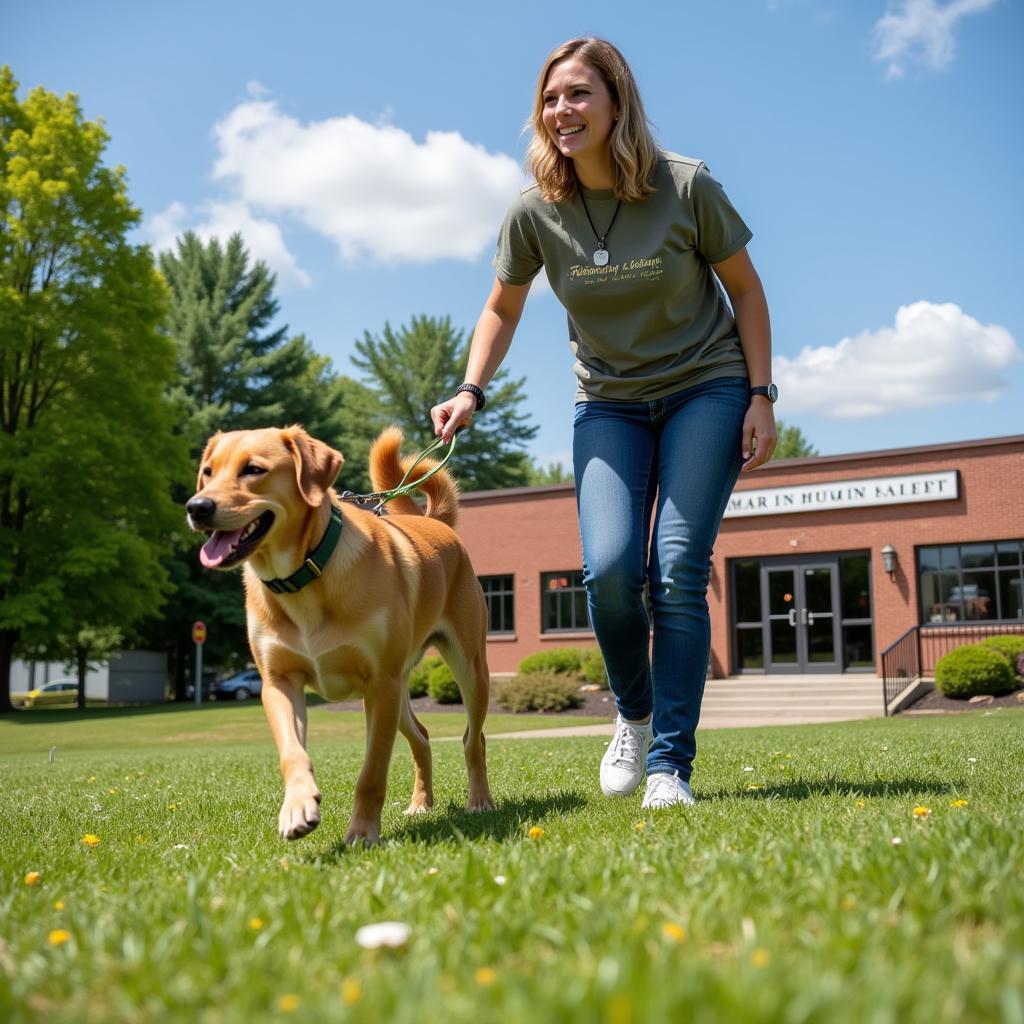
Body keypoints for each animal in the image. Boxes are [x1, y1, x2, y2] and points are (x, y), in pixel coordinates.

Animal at [190, 419, 497, 843]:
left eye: (253, 469)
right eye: (207, 472)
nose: (197, 507)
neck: (302, 578)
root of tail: (435, 522)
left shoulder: (379, 684)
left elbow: (372, 773)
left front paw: (363, 833)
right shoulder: (279, 682)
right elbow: (292, 753)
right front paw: (297, 807)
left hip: (466, 666)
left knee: (473, 738)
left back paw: (479, 799)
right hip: (400, 688)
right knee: (421, 736)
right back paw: (421, 804)